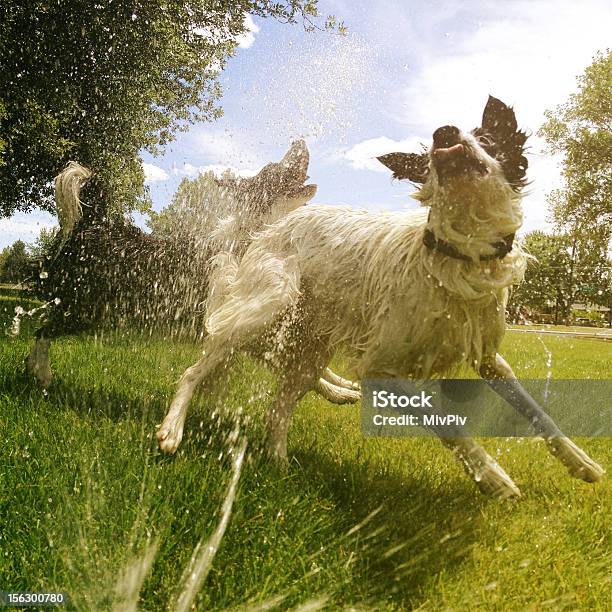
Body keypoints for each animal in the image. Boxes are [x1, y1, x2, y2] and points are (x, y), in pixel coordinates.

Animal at [158, 95, 604, 498]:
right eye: (430, 158)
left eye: (487, 139)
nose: (443, 131)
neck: (457, 257)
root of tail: (268, 230)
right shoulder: (379, 366)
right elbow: (447, 423)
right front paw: (492, 477)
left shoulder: (489, 357)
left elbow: (535, 409)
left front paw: (580, 462)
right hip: (266, 306)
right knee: (196, 368)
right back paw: (172, 429)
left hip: (308, 348)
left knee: (278, 409)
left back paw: (280, 464)